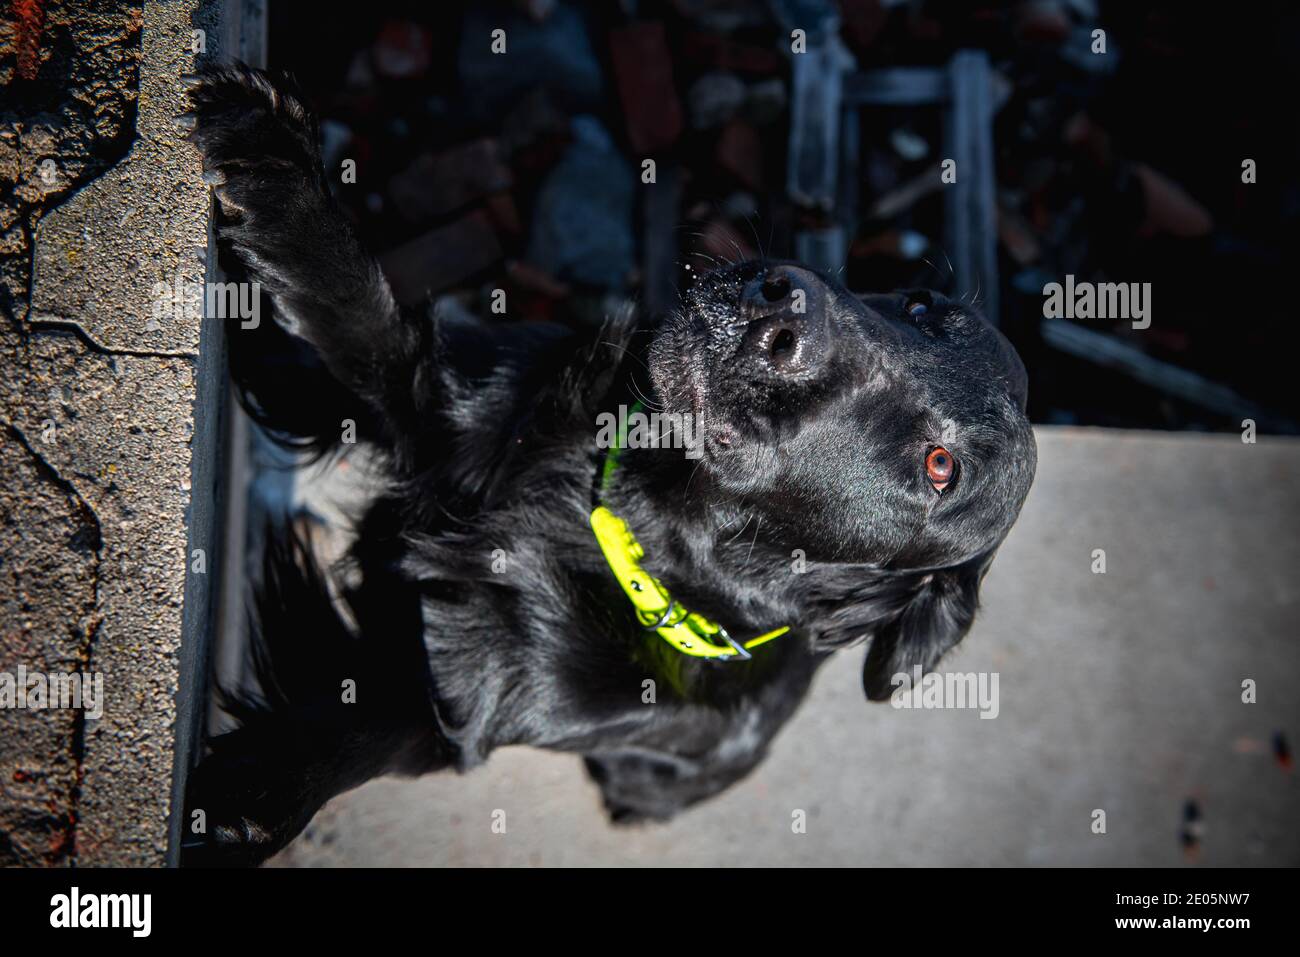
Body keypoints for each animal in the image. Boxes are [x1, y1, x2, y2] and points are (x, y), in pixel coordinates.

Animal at [180, 63, 1034, 863]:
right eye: (922, 308)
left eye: (939, 467)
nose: (783, 304)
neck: (616, 514)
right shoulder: (442, 395)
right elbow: (359, 312)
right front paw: (273, 166)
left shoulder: (461, 690)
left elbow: (359, 732)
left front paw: (247, 794)